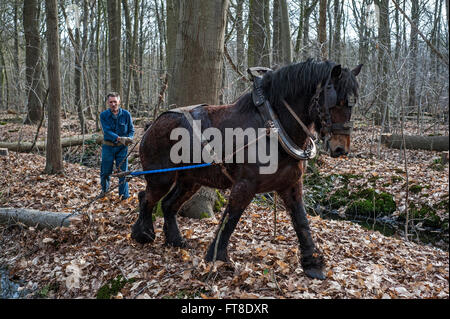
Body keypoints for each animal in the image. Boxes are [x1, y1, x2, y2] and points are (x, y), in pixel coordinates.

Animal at [133, 58, 362, 278]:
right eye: (336, 102)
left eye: (353, 104)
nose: (340, 148)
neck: (273, 126)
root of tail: (152, 125)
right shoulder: (245, 185)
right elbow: (229, 219)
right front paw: (217, 258)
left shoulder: (291, 184)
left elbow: (301, 221)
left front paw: (312, 264)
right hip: (161, 178)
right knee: (146, 197)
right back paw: (142, 234)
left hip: (190, 180)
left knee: (168, 205)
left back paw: (175, 240)